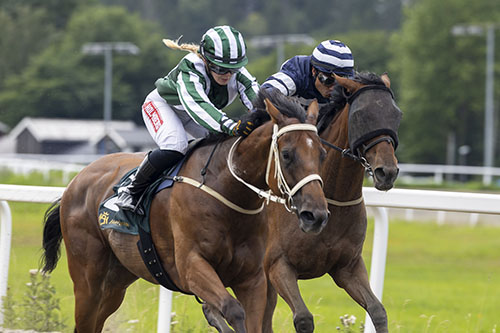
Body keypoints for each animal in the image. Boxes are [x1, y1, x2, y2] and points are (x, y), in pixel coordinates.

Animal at [41, 89, 330, 332]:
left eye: (322, 154)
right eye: (287, 154)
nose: (316, 215)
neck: (226, 192)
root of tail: (76, 181)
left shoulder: (252, 277)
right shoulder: (192, 266)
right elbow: (233, 310)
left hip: (116, 280)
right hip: (87, 280)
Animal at [262, 72, 402, 332]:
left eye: (396, 114)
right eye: (361, 115)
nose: (387, 172)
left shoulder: (347, 267)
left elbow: (378, 310)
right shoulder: (278, 265)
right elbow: (303, 318)